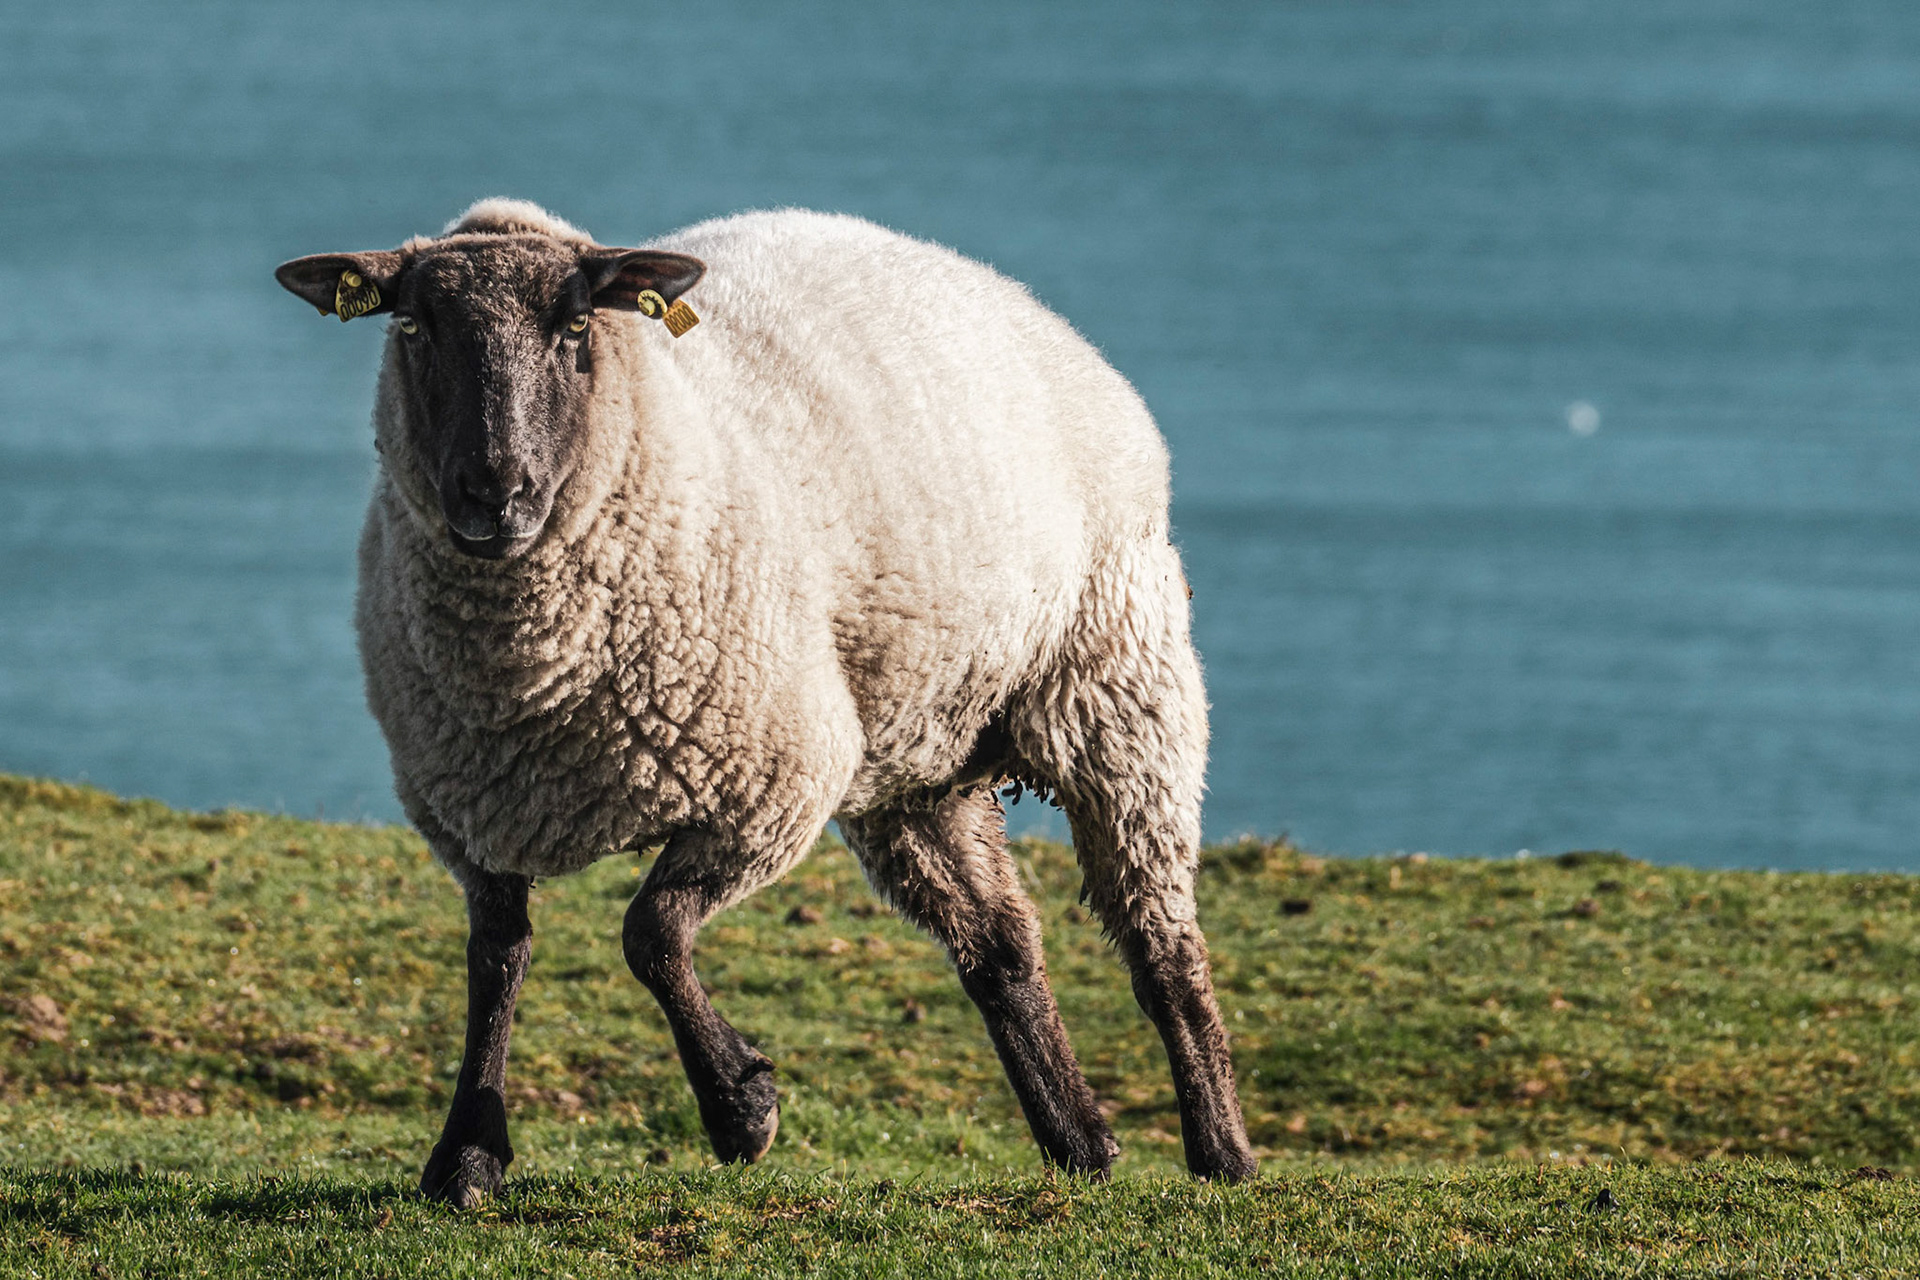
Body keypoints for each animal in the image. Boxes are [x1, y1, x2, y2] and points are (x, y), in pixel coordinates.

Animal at [275, 199, 1255, 1204]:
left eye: (576, 326)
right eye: (412, 326)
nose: (494, 493)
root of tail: (1019, 303)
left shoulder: (769, 789)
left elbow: (650, 934)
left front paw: (741, 1109)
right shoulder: (474, 815)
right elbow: (495, 960)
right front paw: (466, 1157)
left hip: (1120, 683)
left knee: (1163, 946)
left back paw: (1222, 1156)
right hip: (915, 760)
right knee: (999, 945)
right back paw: (1081, 1142)